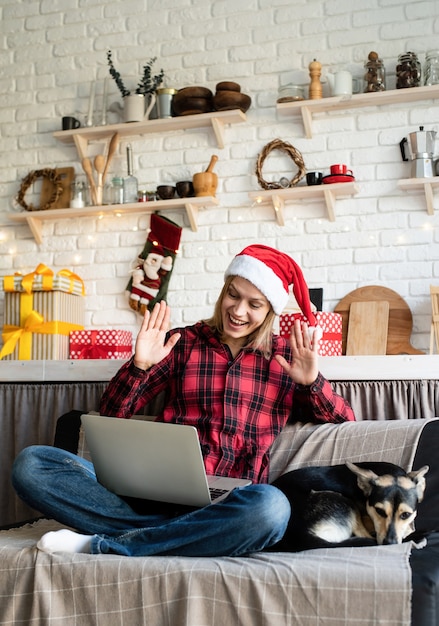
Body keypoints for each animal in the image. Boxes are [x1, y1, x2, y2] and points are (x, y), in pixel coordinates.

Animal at [272, 458, 430, 552]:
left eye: (406, 514)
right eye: (379, 511)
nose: (389, 544)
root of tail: (298, 534)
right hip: (345, 502)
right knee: (366, 537)